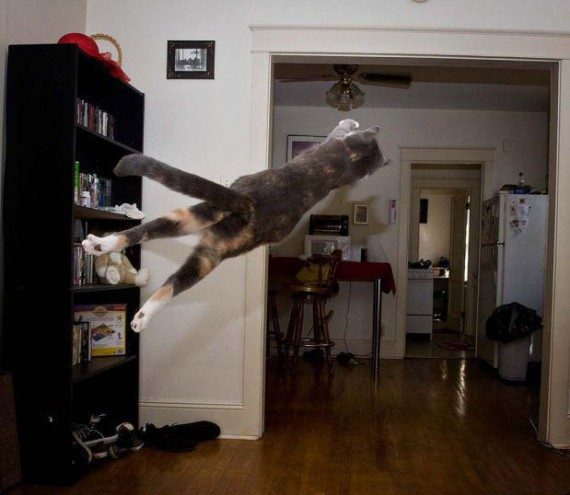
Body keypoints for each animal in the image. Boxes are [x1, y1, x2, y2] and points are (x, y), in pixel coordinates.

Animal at [82, 119, 388, 332]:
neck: (354, 153)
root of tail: (248, 203)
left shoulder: (337, 140)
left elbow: (342, 127)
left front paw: (351, 122)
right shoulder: (337, 140)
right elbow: (342, 127)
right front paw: (352, 121)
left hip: (208, 244)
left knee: (168, 273)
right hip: (205, 231)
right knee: (150, 245)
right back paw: (102, 248)